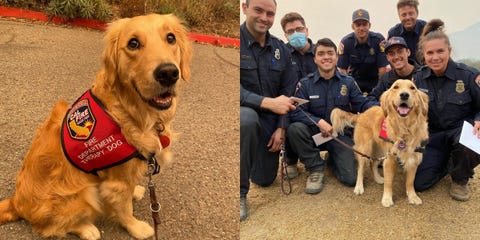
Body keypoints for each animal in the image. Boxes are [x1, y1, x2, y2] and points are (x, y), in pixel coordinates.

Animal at [0, 14, 191, 239]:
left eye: (171, 38)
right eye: (133, 43)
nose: (168, 73)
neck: (129, 110)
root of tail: (16, 202)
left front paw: (134, 191)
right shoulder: (116, 182)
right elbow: (124, 209)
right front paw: (136, 227)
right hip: (84, 192)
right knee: (51, 227)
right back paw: (87, 229)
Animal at [332, 79, 430, 207]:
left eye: (412, 88)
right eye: (395, 87)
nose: (404, 95)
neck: (404, 128)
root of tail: (361, 114)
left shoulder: (413, 158)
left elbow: (410, 182)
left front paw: (413, 196)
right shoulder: (389, 159)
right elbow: (388, 182)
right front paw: (387, 199)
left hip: (379, 149)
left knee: (373, 164)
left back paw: (378, 178)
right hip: (365, 148)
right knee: (361, 168)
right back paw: (359, 187)